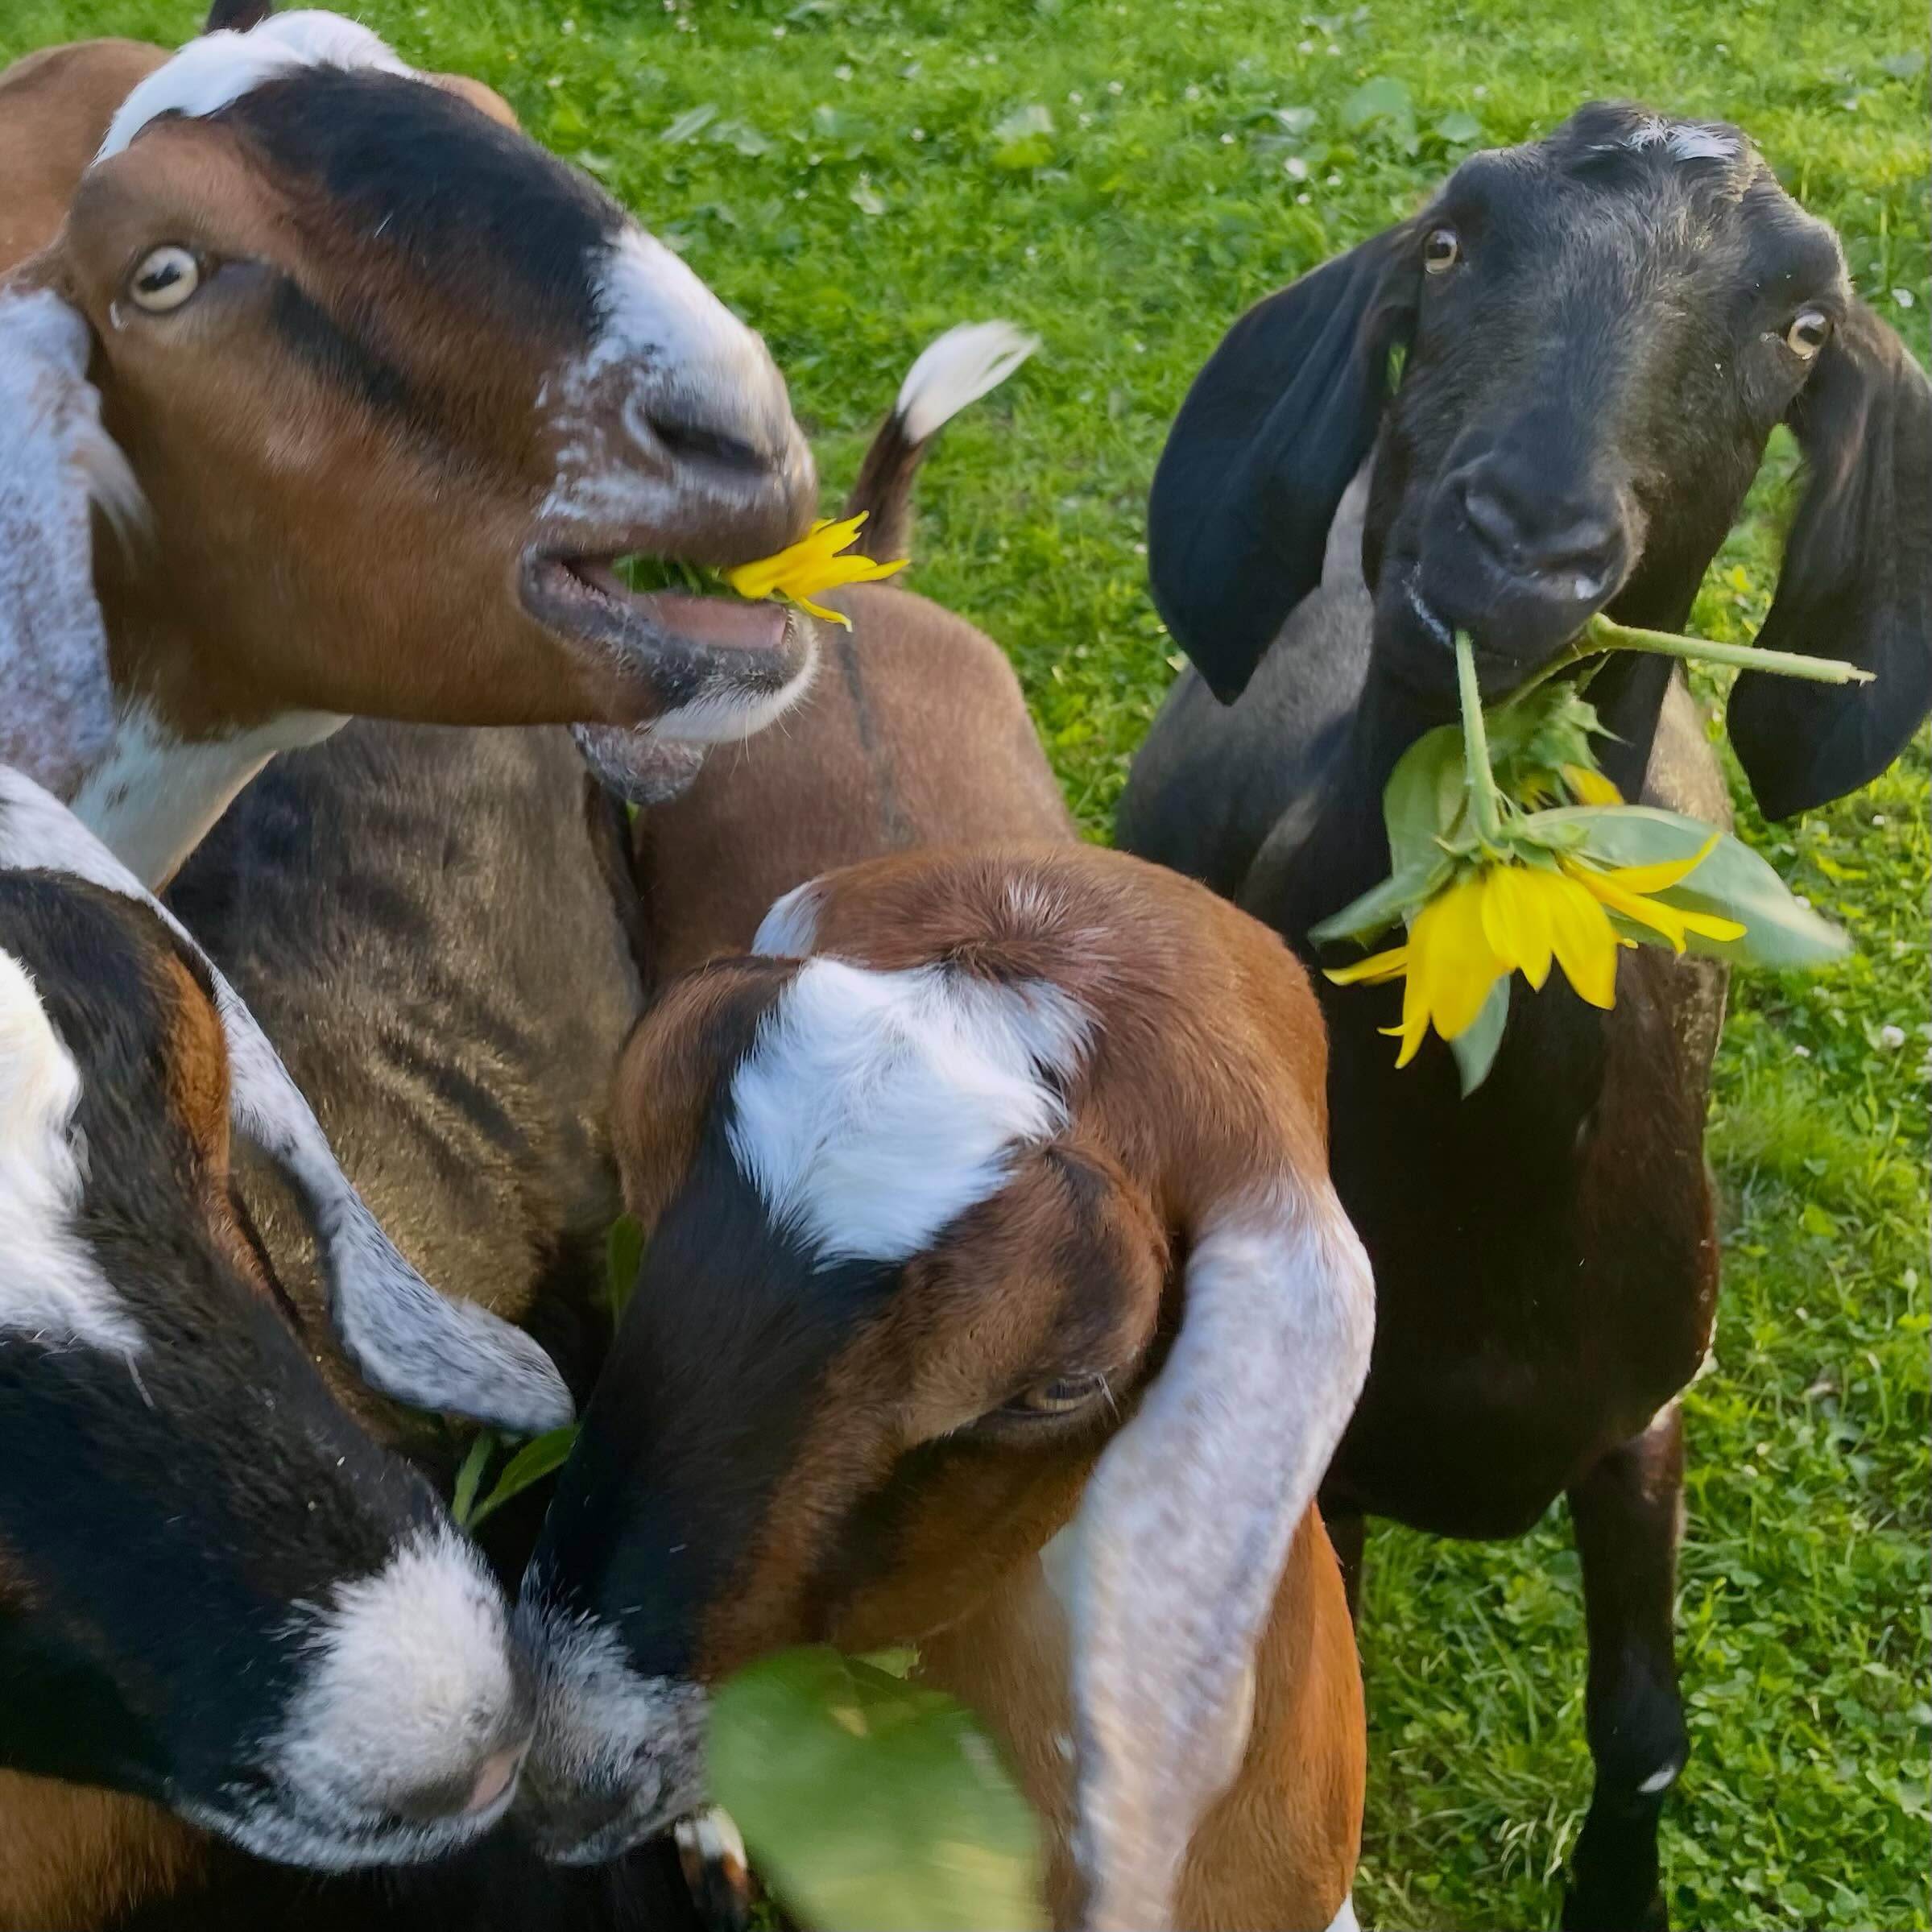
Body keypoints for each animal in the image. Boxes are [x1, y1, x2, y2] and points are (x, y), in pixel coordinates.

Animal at [1117, 102, 1932, 1930]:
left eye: (1797, 326)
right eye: (1447, 238)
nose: (1513, 554)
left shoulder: (1641, 1414)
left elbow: (1641, 1728)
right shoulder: (1323, 1464)